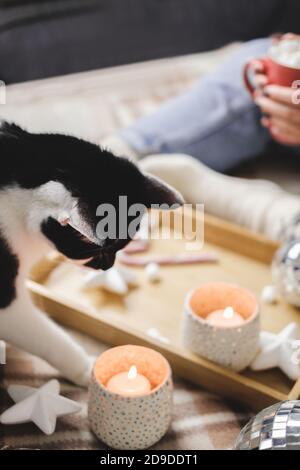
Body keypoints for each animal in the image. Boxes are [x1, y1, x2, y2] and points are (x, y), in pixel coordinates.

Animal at [0, 123, 183, 388]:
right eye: (103, 252)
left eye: (122, 246)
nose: (108, 267)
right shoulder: (8, 307)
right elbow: (49, 337)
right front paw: (88, 369)